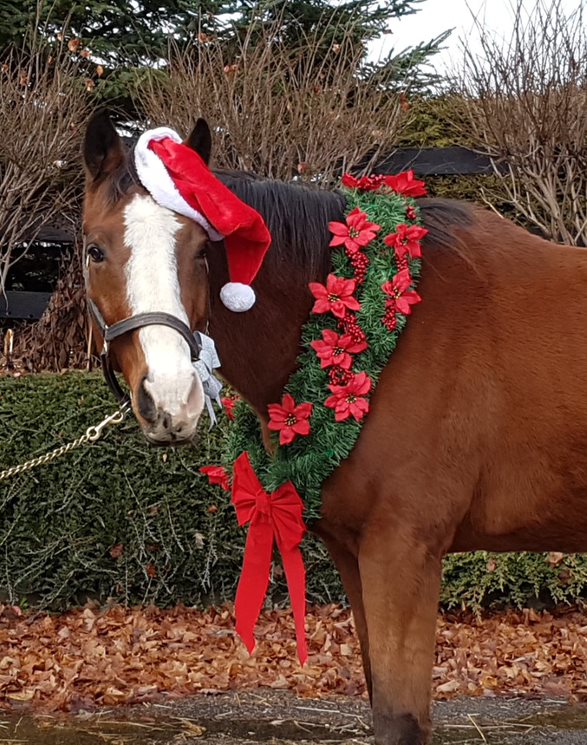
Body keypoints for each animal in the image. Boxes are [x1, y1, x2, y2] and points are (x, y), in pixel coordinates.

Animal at [81, 112, 587, 744]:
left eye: (201, 251)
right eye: (94, 249)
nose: (172, 398)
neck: (396, 323)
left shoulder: (403, 552)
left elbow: (400, 719)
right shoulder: (355, 554)